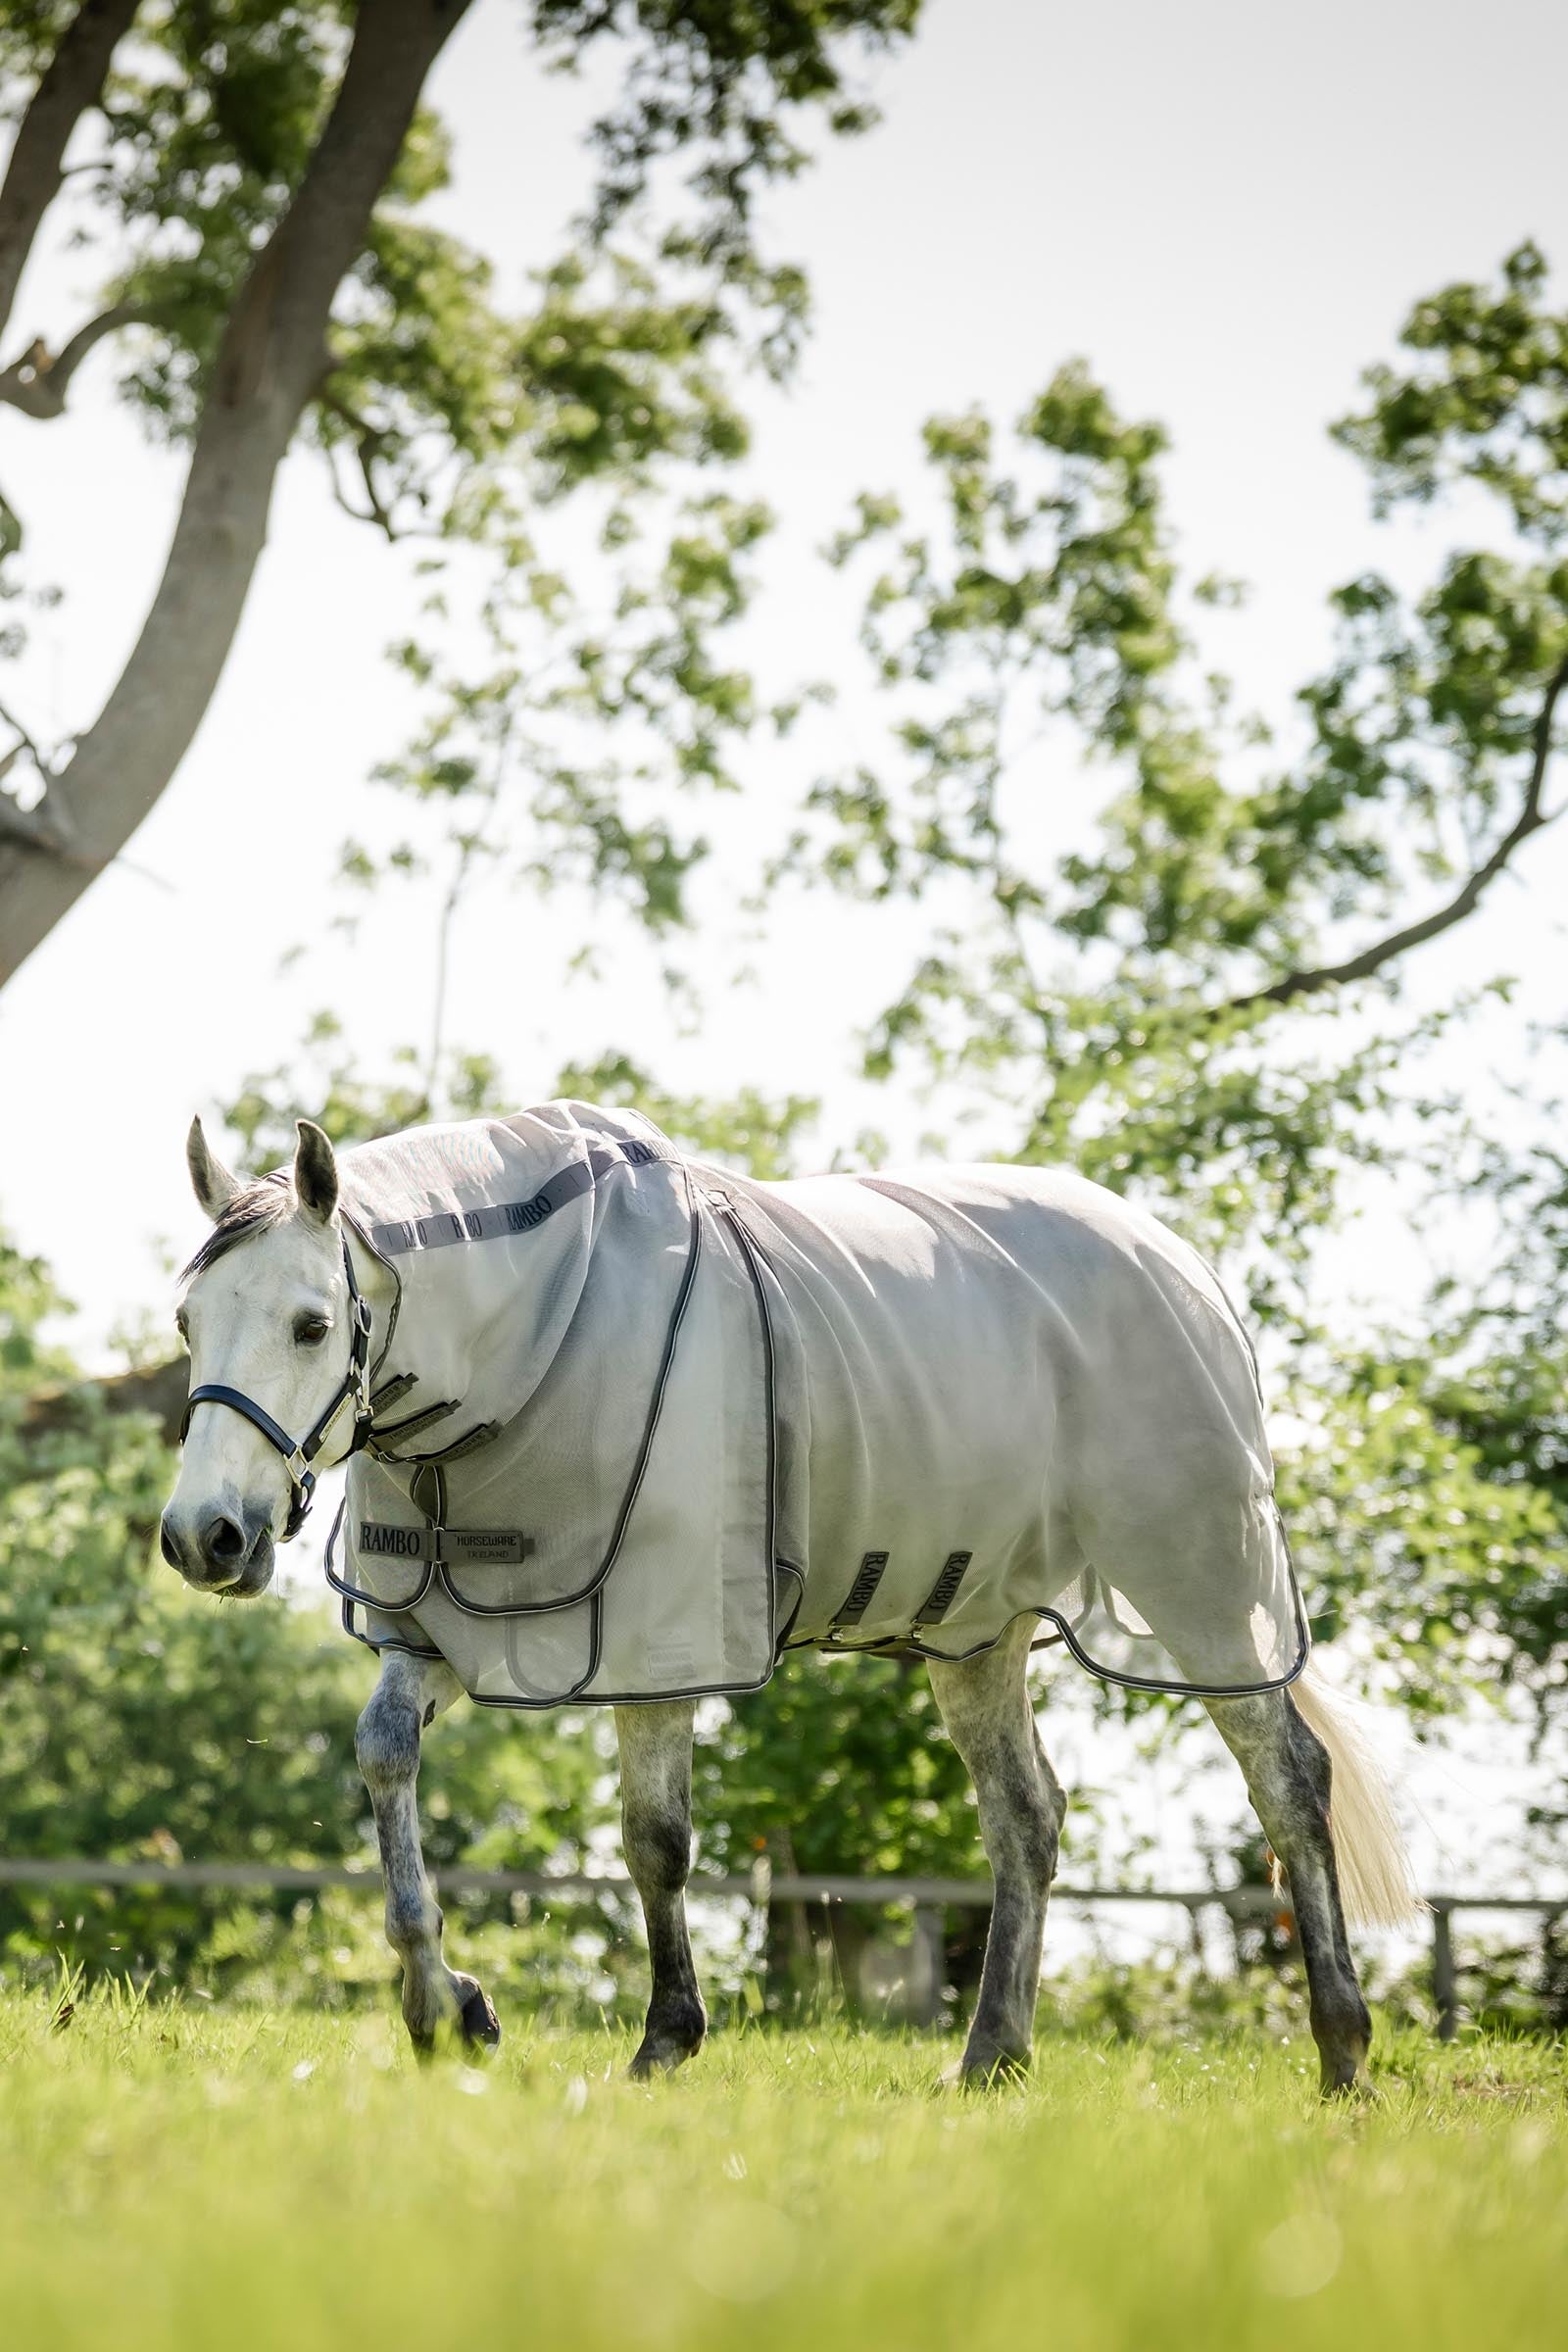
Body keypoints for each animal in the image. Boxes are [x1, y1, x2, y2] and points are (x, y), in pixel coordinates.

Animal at [160, 1104, 1421, 2092]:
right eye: (188, 1322)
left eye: (312, 1325)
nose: (202, 1538)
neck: (530, 1343)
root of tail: (1181, 1267)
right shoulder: (437, 1633)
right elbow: (385, 1759)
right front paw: (445, 2008)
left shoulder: (659, 1643)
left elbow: (655, 1841)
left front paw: (665, 2039)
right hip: (980, 1630)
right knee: (1025, 1818)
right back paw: (990, 2057)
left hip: (1204, 1587)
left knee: (1286, 1786)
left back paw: (1342, 2053)